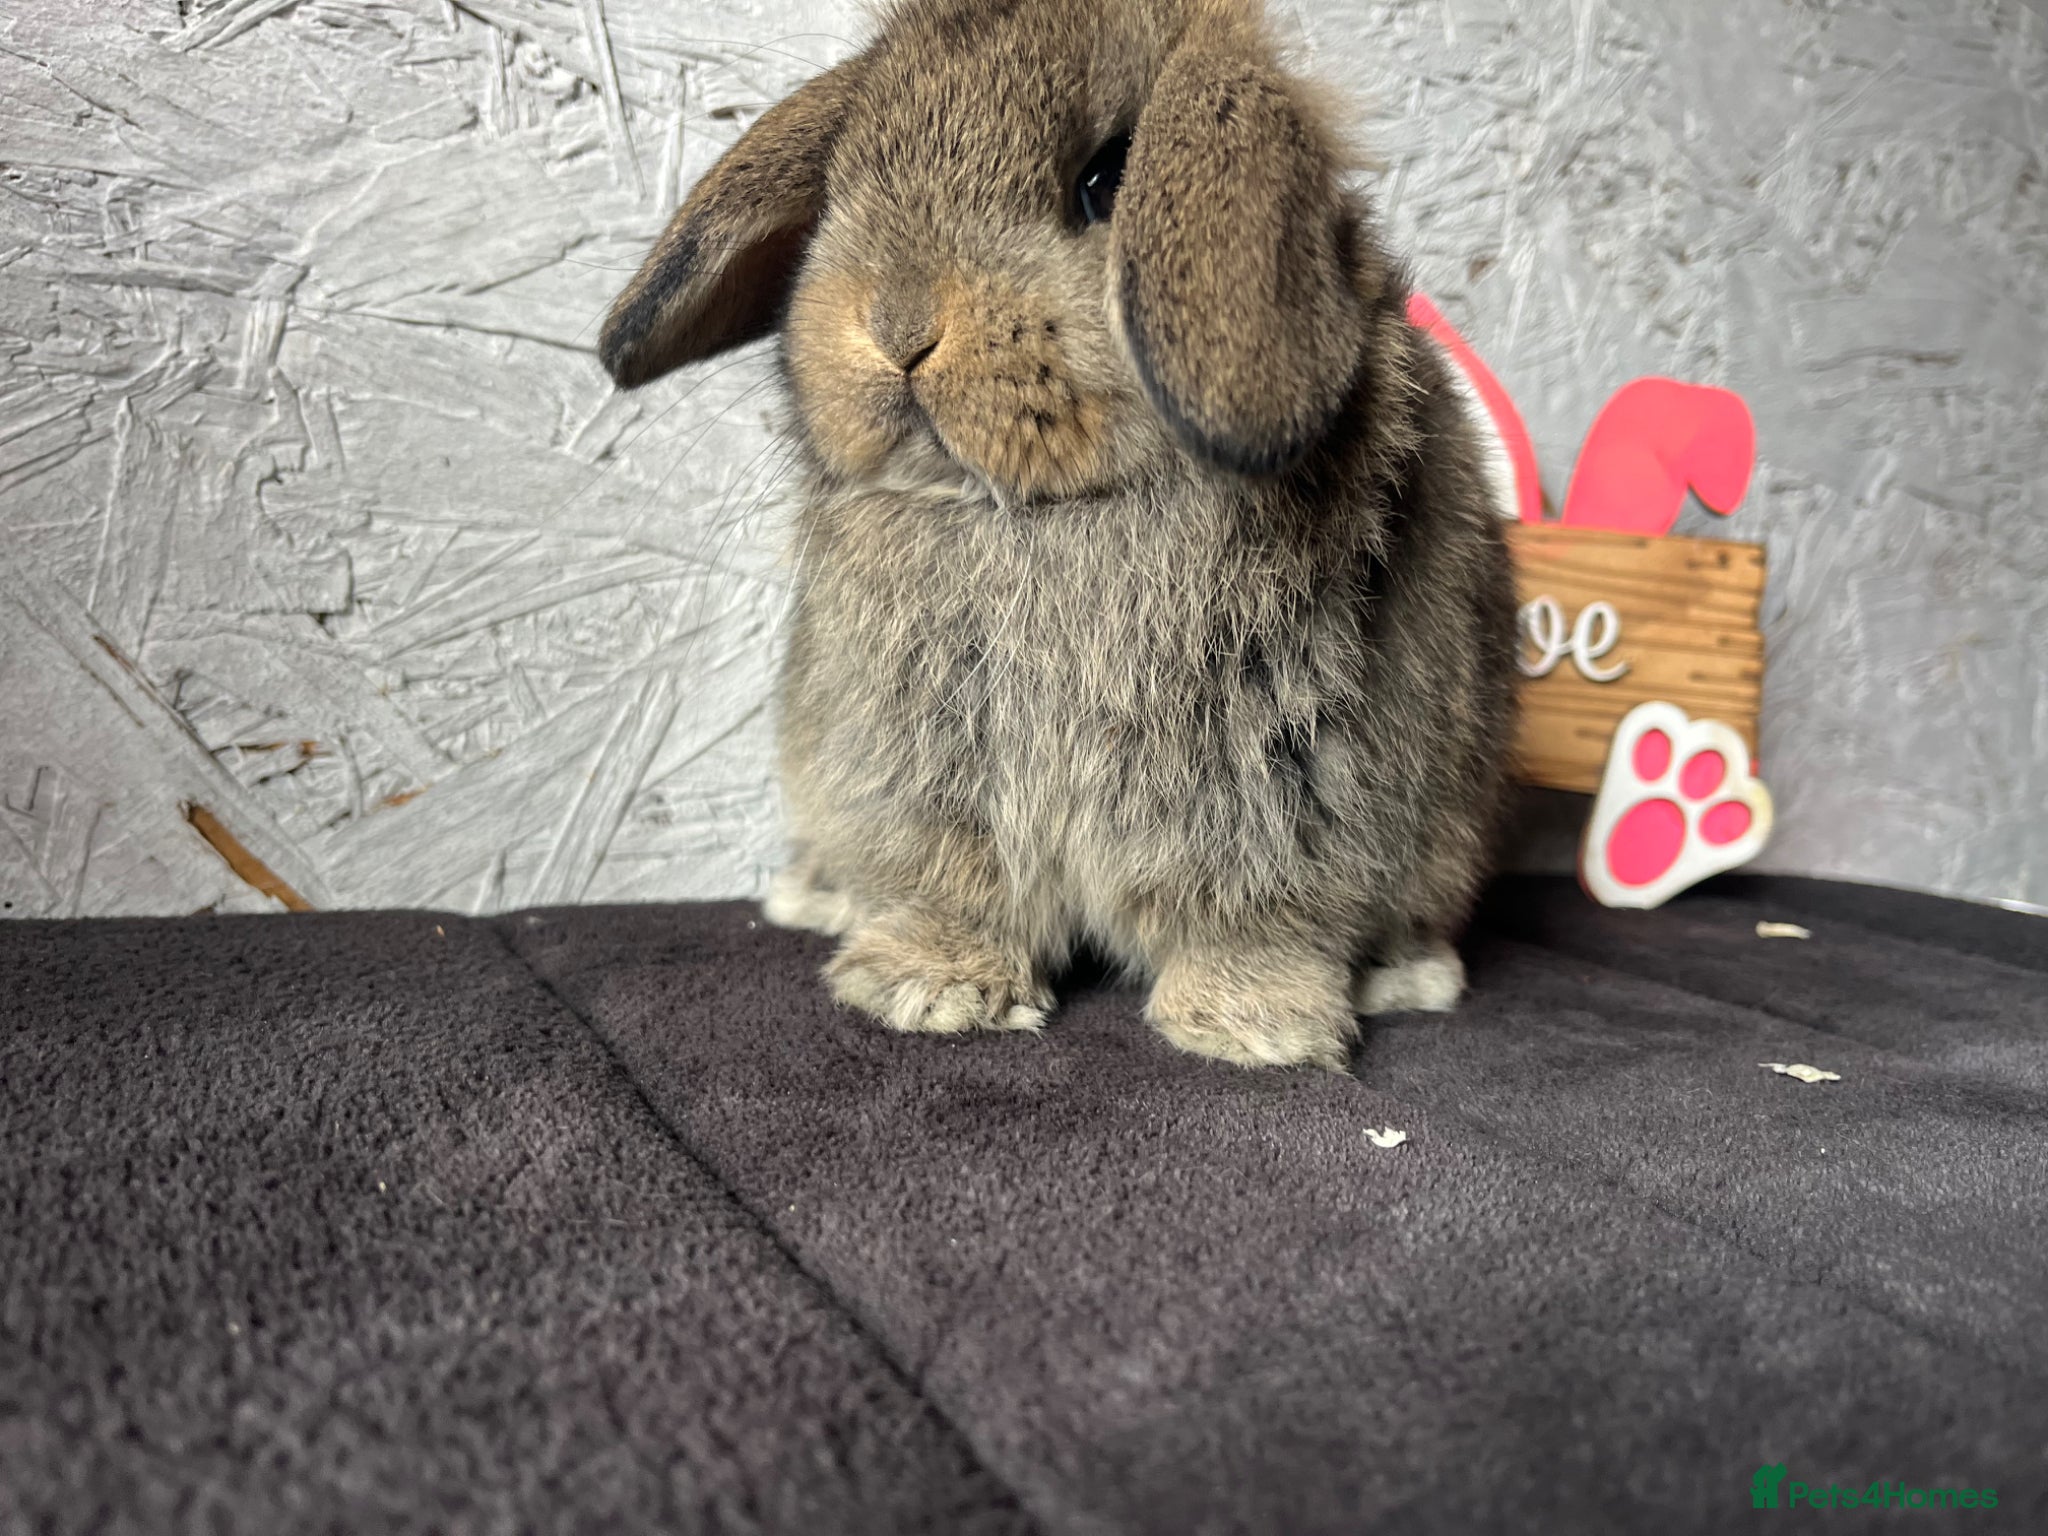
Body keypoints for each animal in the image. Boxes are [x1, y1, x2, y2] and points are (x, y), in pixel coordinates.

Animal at [598, 0, 1520, 1070]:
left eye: (1107, 180)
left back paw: (1409, 976)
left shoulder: (1300, 775)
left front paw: (1251, 1027)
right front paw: (928, 990)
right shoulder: (929, 769)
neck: (1039, 513)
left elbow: (1261, 910)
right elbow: (953, 885)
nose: (897, 326)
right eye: (839, 189)